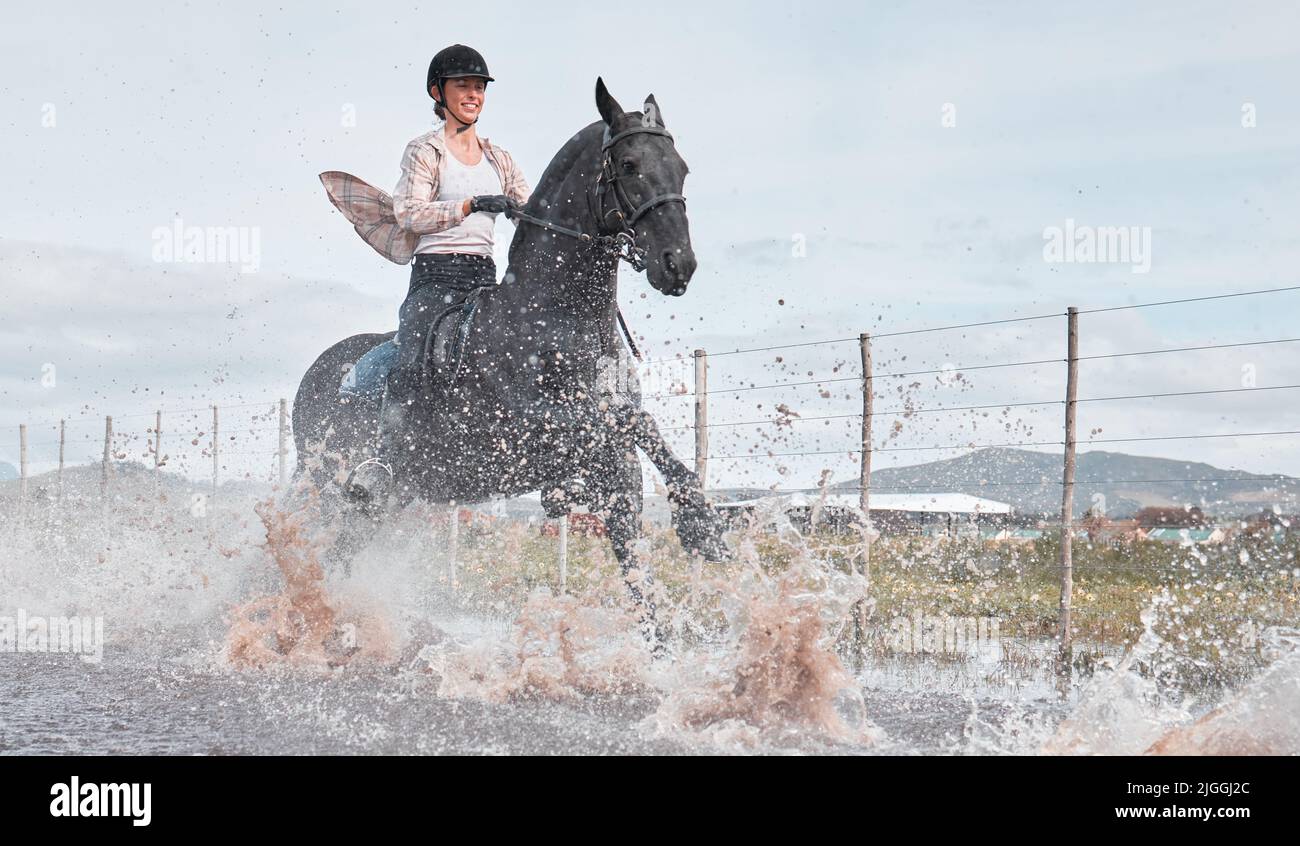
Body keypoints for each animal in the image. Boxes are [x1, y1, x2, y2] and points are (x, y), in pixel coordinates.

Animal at [288, 79, 728, 644]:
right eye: (629, 164)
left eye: (682, 167)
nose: (678, 265)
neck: (551, 320)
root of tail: (313, 377)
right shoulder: (544, 430)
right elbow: (617, 430)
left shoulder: (609, 446)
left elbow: (638, 465)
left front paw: (701, 529)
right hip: (329, 487)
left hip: (387, 502)